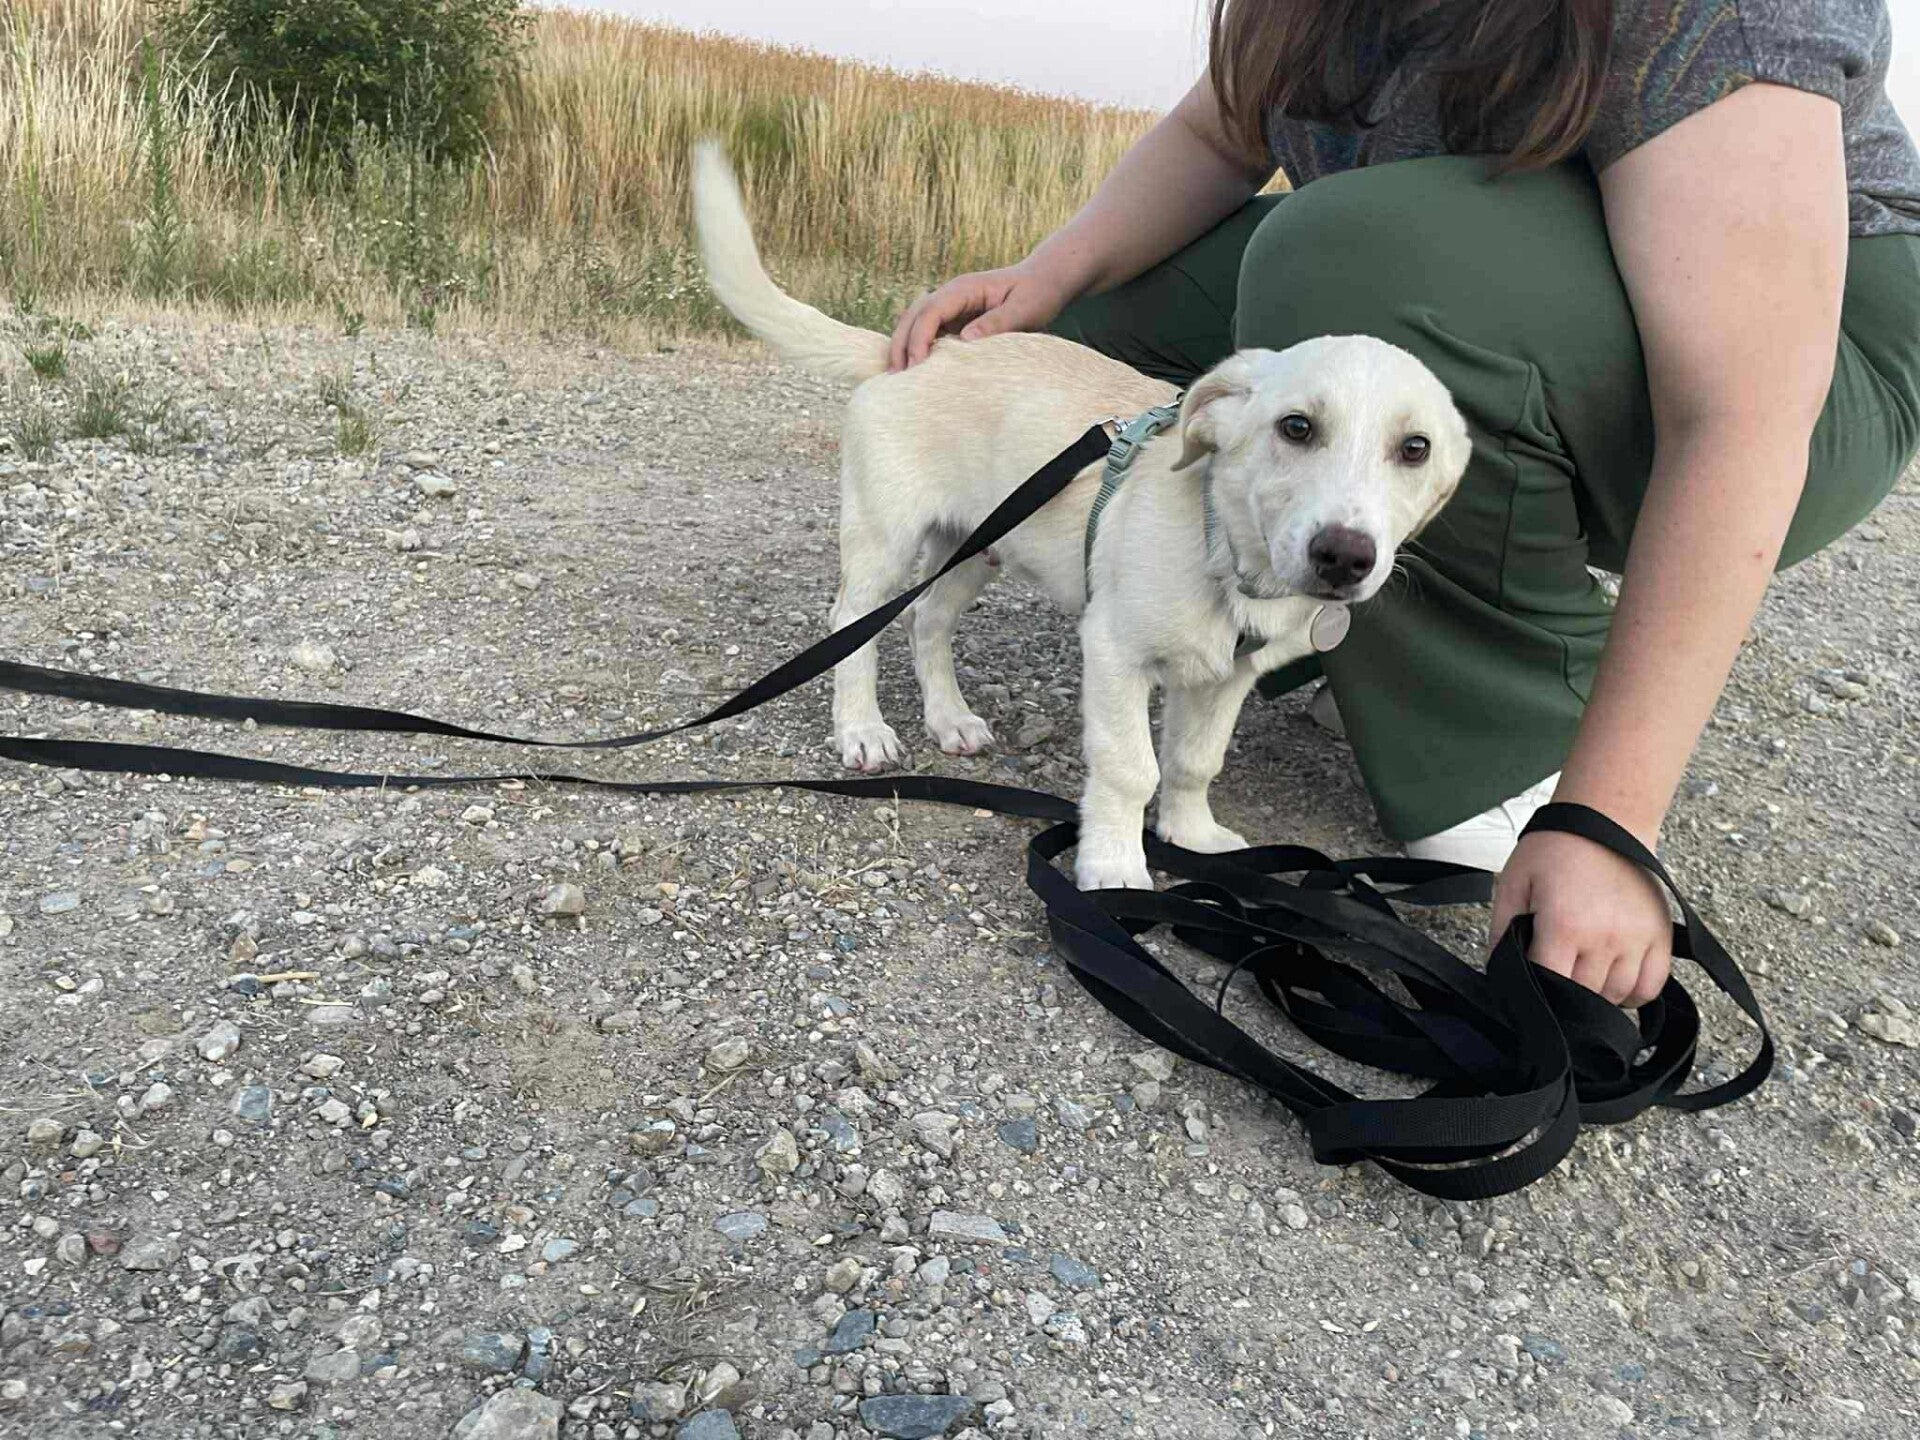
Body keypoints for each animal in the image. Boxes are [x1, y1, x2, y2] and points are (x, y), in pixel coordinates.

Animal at [691, 142, 1470, 891]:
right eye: (1297, 427)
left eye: (1416, 448)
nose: (1344, 556)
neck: (1225, 554)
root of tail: (915, 347)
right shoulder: (1115, 650)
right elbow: (1131, 768)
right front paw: (1115, 867)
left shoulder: (1225, 679)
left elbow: (1194, 762)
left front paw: (1192, 837)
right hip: (887, 540)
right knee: (853, 625)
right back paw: (862, 729)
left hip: (978, 546)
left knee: (928, 622)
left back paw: (950, 719)